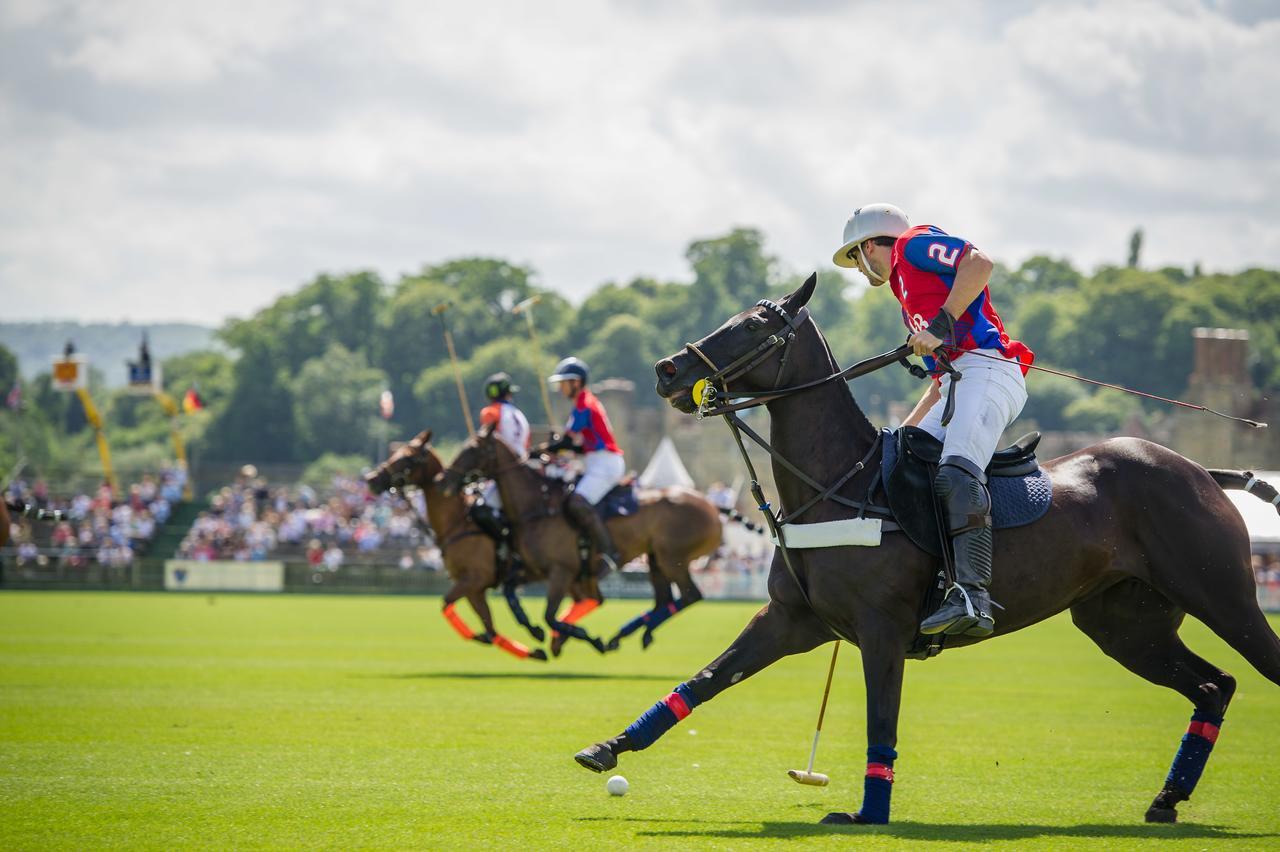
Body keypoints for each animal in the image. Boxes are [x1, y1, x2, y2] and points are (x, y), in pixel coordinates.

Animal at [440, 424, 727, 649]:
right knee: (664, 600)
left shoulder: (562, 570)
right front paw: (540, 632)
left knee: (690, 595)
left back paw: (629, 634)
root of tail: (712, 507)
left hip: (672, 558)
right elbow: (513, 594)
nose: (445, 481)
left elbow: (551, 616)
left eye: (473, 450)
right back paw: (628, 635)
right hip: (655, 557)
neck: (537, 506)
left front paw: (578, 636)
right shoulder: (536, 569)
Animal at [578, 272, 1280, 823]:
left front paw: (868, 812)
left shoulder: (882, 628)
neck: (841, 482)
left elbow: (880, 719)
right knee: (1214, 685)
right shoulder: (789, 619)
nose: (667, 370)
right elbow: (705, 679)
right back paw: (1166, 800)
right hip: (1125, 624)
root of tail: (1201, 470)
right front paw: (605, 749)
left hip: (1224, 596)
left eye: (756, 324)